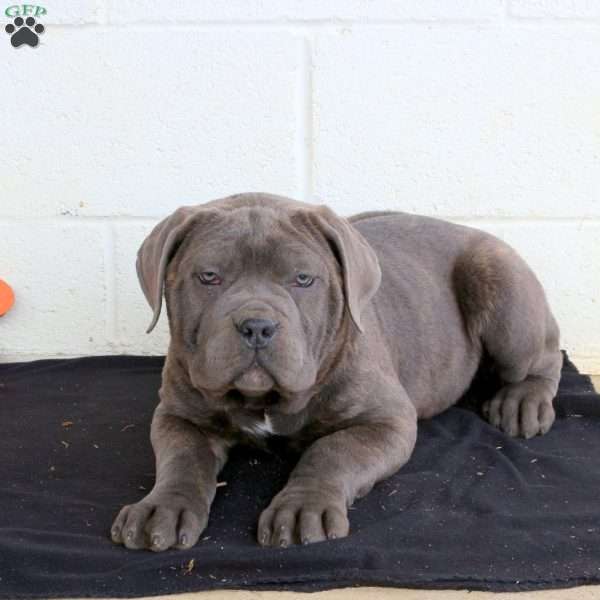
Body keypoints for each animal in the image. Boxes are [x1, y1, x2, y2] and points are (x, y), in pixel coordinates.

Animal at [110, 195, 560, 552]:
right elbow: (183, 460)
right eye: (209, 276)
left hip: (501, 291)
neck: (264, 400)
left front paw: (300, 509)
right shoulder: (179, 416)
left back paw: (523, 404)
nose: (257, 325)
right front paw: (162, 509)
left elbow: (331, 452)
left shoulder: (386, 420)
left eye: (303, 279)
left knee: (545, 353)